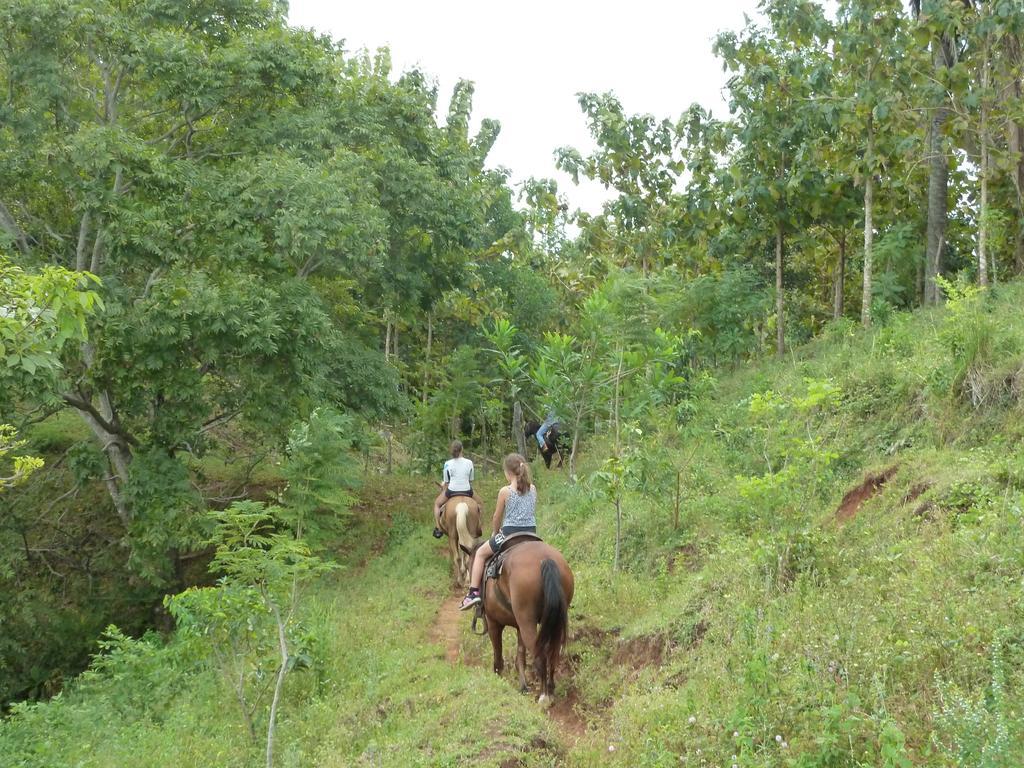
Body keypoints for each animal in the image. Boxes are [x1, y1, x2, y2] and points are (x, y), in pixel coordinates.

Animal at [475, 540, 573, 704]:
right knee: (552, 653)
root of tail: (546, 559)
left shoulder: (494, 623)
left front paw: (498, 677)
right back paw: (551, 688)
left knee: (540, 656)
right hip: (554, 621)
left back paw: (544, 696)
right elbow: (520, 655)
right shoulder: (519, 626)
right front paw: (523, 686)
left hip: (527, 622)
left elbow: (498, 652)